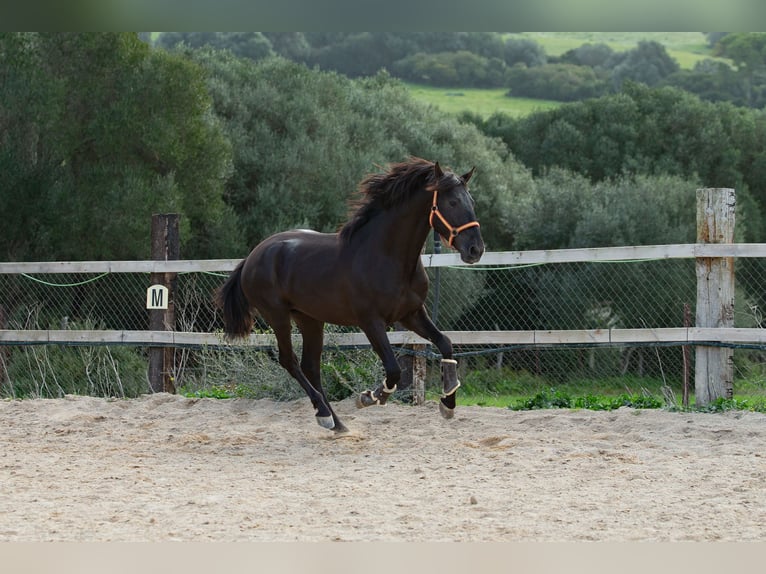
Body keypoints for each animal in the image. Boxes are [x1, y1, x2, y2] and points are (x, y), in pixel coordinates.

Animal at [216, 158, 486, 432]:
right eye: (452, 202)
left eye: (471, 201)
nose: (475, 249)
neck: (388, 257)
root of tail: (251, 257)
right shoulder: (371, 321)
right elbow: (394, 370)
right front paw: (370, 397)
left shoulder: (411, 314)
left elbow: (445, 343)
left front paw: (448, 403)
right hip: (278, 316)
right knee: (289, 361)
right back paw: (324, 414)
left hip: (309, 318)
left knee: (310, 366)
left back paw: (336, 423)